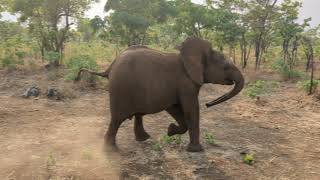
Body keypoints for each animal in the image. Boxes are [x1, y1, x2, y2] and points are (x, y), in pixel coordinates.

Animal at [75, 36, 245, 152]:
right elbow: (191, 109)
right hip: (121, 89)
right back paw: (111, 151)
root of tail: (110, 66)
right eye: (225, 67)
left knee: (136, 114)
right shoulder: (186, 83)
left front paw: (170, 131)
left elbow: (176, 109)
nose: (208, 104)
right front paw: (197, 150)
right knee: (117, 119)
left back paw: (143, 139)